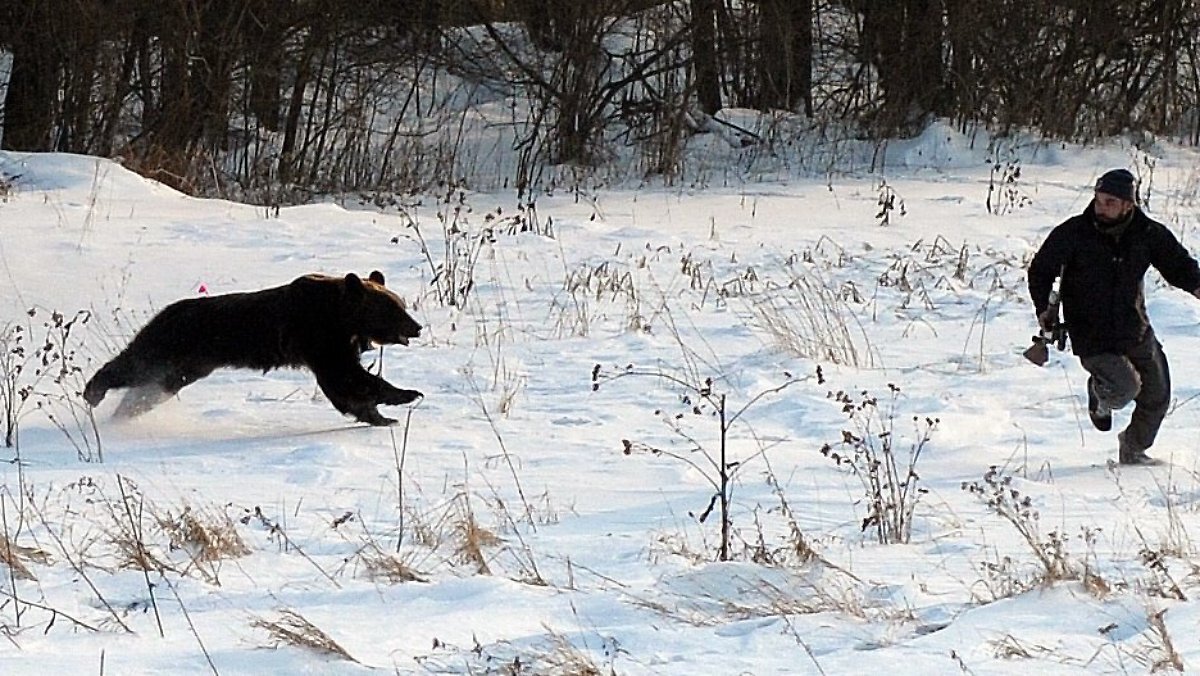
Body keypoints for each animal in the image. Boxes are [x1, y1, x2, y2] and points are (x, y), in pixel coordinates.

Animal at [84, 271, 422, 425]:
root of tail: (167, 311)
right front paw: (405, 395)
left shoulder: (335, 343)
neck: (341, 318)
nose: (416, 327)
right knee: (132, 365)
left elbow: (346, 383)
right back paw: (93, 393)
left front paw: (381, 415)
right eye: (394, 309)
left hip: (188, 366)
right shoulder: (319, 339)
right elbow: (347, 378)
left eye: (401, 304)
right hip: (170, 347)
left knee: (153, 388)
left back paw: (124, 412)